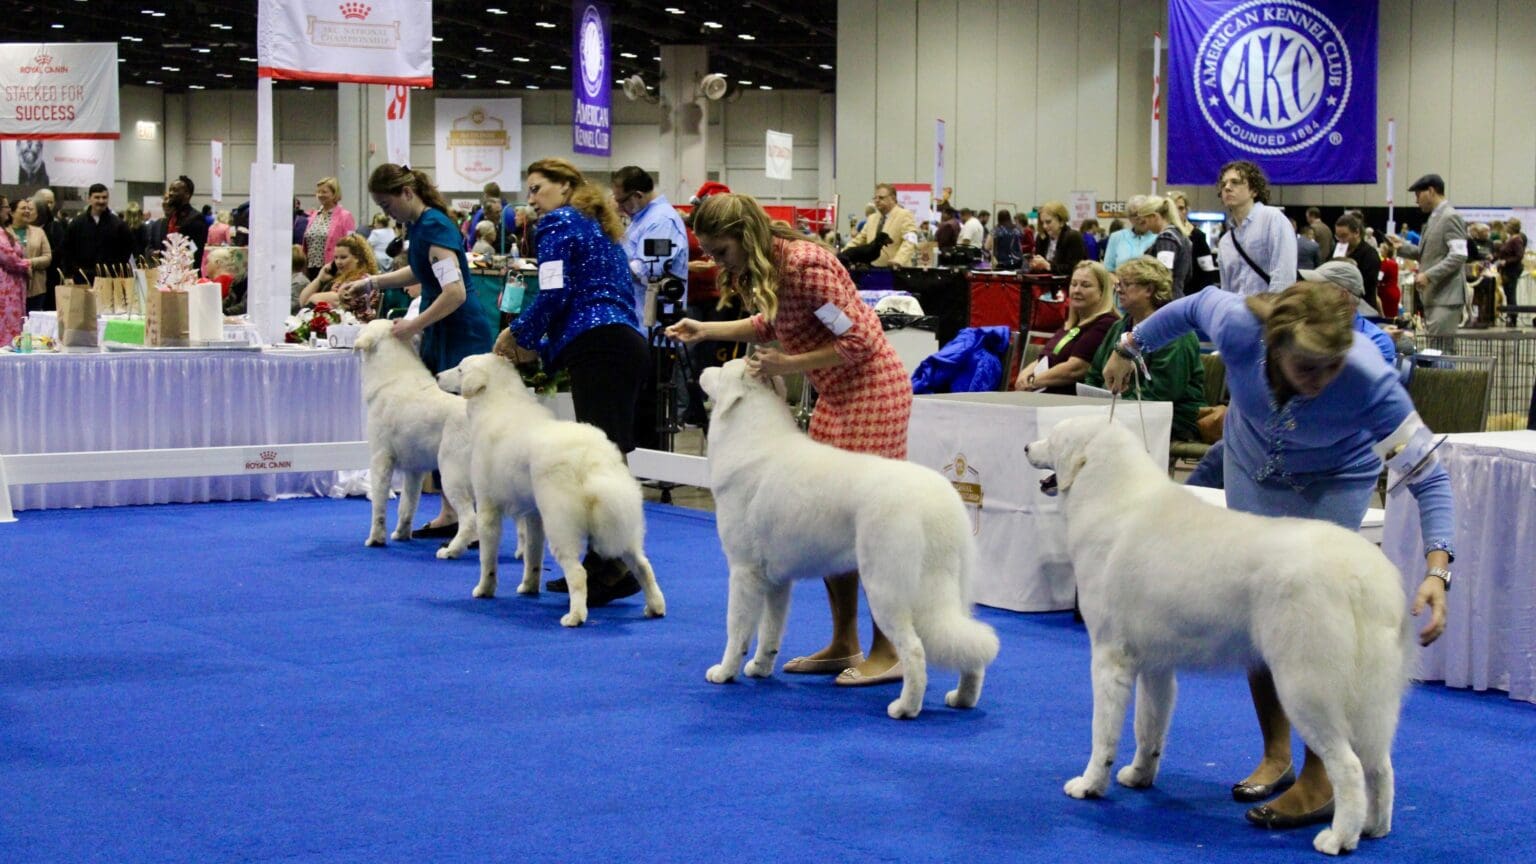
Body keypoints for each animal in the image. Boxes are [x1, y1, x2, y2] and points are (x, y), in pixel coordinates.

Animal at [439, 350, 666, 624]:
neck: (498, 401)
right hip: (621, 525)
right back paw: (655, 607)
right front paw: (529, 586)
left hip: (561, 526)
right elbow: (532, 556)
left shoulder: (487, 508)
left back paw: (575, 617)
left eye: (460, 369)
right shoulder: (534, 516)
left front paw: (484, 590)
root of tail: (590, 457)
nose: (437, 375)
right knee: (643, 565)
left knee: (578, 573)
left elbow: (488, 559)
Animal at [700, 358, 1007, 719]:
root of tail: (936, 504)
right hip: (954, 592)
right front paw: (760, 668)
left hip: (885, 589)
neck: (750, 434)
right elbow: (770, 630)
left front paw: (724, 672)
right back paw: (962, 699)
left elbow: (737, 629)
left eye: (722, 369)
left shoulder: (743, 572)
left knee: (914, 650)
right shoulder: (776, 581)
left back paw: (905, 708)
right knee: (970, 645)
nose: (703, 370)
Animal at [1026, 418, 1406, 854]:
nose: (1026, 448)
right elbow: (1148, 728)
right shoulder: (1156, 668)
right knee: (1381, 766)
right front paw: (1139, 776)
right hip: (1372, 699)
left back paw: (1339, 837)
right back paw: (1375, 827)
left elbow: (1102, 734)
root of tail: (1362, 573)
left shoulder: (1108, 659)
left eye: (1053, 438)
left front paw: (1090, 785)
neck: (1112, 498)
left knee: (1349, 767)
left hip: (1306, 687)